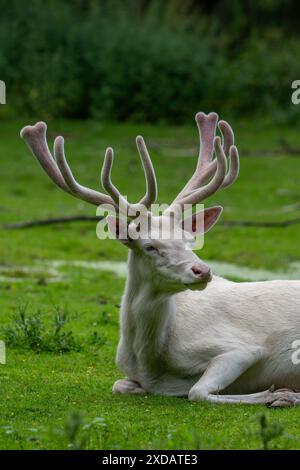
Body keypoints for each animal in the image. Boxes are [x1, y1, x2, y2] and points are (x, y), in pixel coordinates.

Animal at [22, 112, 300, 406]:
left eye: (189, 240)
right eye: (150, 246)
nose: (203, 270)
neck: (150, 359)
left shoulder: (242, 347)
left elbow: (197, 391)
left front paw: (281, 393)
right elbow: (120, 385)